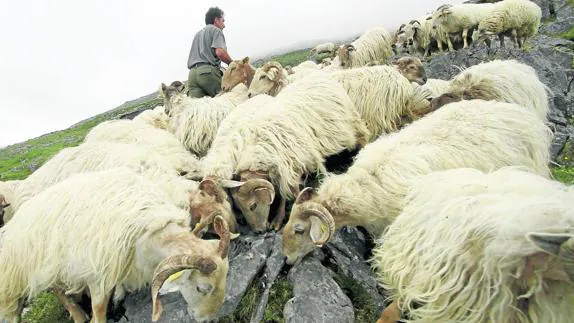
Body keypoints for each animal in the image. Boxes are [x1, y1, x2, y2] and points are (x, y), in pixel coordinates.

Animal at [0, 170, 232, 323]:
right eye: (202, 288)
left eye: (225, 279)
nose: (209, 318)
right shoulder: (97, 274)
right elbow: (99, 311)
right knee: (55, 291)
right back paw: (78, 315)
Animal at [196, 73, 372, 235]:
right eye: (237, 207)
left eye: (252, 205)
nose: (258, 231)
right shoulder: (281, 167)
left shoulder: (291, 163)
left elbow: (286, 192)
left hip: (351, 122)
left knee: (362, 139)